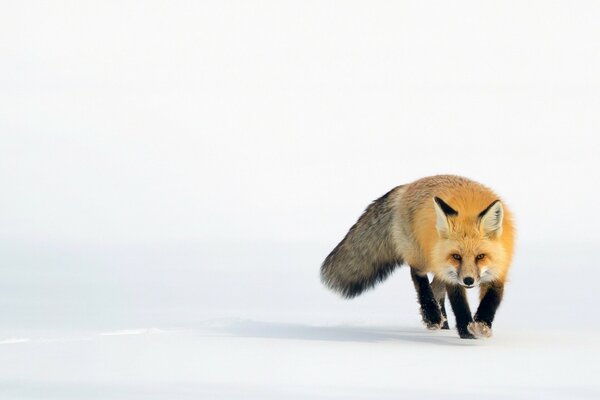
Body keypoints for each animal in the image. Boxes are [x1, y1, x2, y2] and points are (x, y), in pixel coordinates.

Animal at [324, 174, 516, 338]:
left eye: (481, 256)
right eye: (456, 256)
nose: (468, 280)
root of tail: (408, 185)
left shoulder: (499, 270)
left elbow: (491, 300)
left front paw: (482, 326)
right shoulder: (453, 277)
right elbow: (459, 304)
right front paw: (466, 332)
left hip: (439, 266)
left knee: (436, 289)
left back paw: (443, 323)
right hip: (424, 258)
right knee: (420, 279)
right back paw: (432, 315)